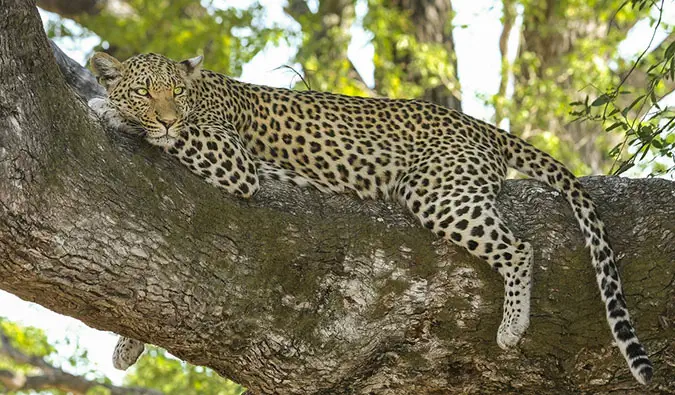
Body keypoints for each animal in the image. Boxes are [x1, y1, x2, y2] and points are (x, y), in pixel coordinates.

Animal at [87, 51, 652, 386]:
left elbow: (179, 136)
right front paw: (128, 344)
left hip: (435, 191)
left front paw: (105, 109)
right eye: (145, 91)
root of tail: (478, 124)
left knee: (519, 248)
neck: (202, 93)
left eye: (175, 93)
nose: (165, 116)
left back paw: (513, 326)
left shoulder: (233, 160)